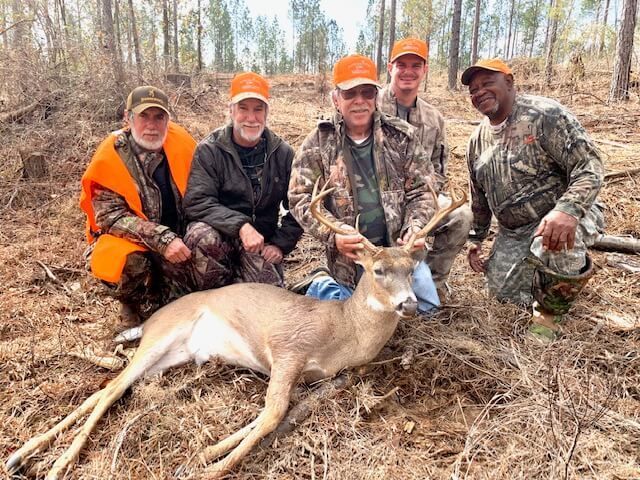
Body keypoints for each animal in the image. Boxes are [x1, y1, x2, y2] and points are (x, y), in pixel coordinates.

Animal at [6, 180, 467, 480]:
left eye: (410, 268)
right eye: (377, 270)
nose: (409, 303)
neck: (342, 332)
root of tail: (152, 320)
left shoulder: (311, 375)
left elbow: (266, 413)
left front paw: (206, 452)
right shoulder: (287, 347)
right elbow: (272, 413)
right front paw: (207, 468)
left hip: (171, 356)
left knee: (109, 387)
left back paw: (22, 456)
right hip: (161, 337)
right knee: (113, 389)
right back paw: (57, 465)